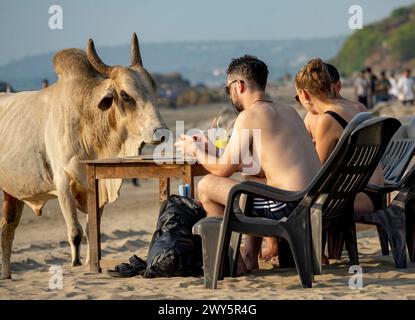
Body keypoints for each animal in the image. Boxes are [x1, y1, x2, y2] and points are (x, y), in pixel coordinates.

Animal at [1, 31, 167, 278]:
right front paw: (76, 264)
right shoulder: (63, 184)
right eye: (126, 95)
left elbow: (91, 229)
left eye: (154, 90)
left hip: (11, 194)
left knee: (7, 230)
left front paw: (91, 261)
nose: (161, 132)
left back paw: (7, 275)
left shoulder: (97, 187)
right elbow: (75, 231)